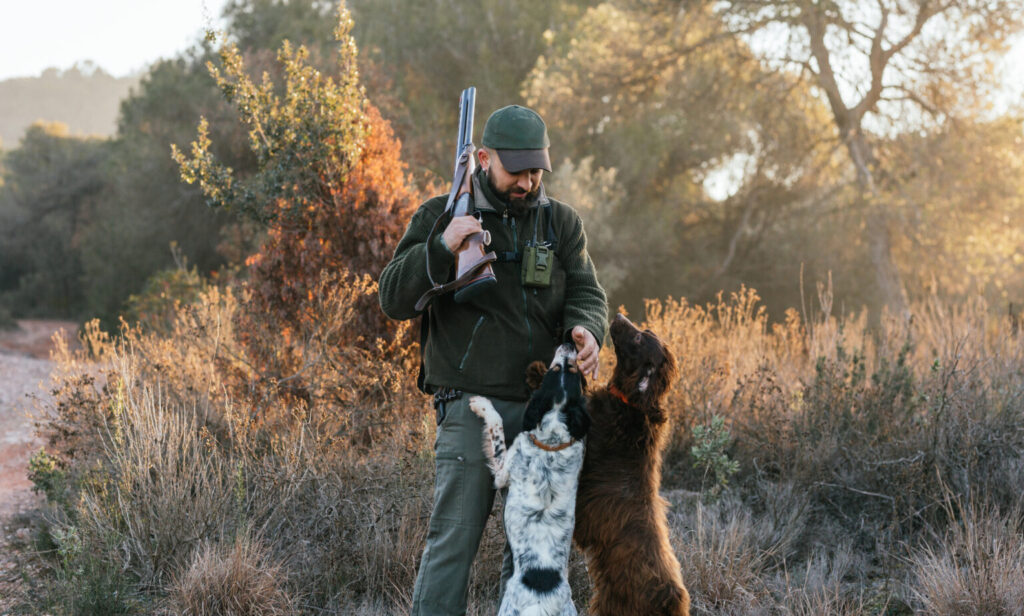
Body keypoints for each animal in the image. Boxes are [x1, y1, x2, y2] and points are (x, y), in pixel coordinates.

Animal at [468, 339, 589, 613]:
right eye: (562, 369)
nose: (569, 342)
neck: (553, 440)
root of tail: (543, 602)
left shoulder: (503, 470)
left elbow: (497, 424)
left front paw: (481, 404)